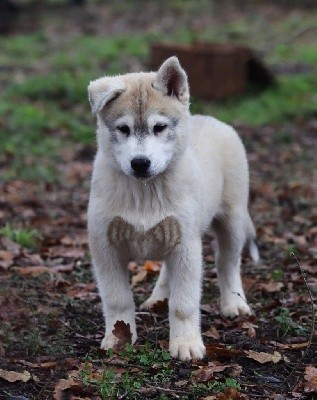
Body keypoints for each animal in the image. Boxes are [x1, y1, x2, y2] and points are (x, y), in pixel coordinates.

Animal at [86, 57, 256, 362]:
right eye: (123, 129)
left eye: (159, 127)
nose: (140, 163)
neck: (144, 192)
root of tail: (209, 119)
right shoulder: (105, 246)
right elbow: (117, 299)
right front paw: (119, 338)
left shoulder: (186, 246)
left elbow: (184, 303)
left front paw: (185, 344)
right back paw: (158, 297)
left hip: (232, 219)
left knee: (228, 263)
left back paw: (233, 303)